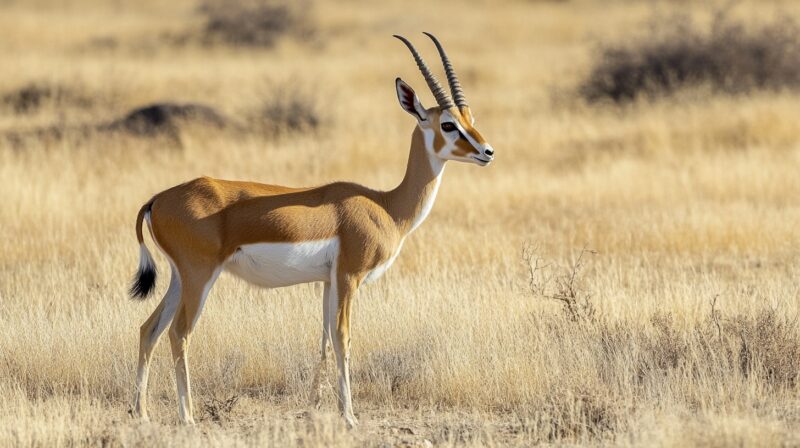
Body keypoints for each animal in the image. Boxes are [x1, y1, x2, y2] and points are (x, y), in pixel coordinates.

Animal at [130, 33, 494, 426]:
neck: (386, 206)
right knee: (179, 333)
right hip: (199, 277)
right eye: (448, 125)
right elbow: (343, 337)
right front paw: (349, 416)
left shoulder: (328, 280)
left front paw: (314, 407)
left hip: (179, 278)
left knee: (149, 329)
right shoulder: (349, 276)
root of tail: (157, 200)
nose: (487, 151)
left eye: (471, 118)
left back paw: (142, 414)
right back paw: (187, 417)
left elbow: (324, 339)